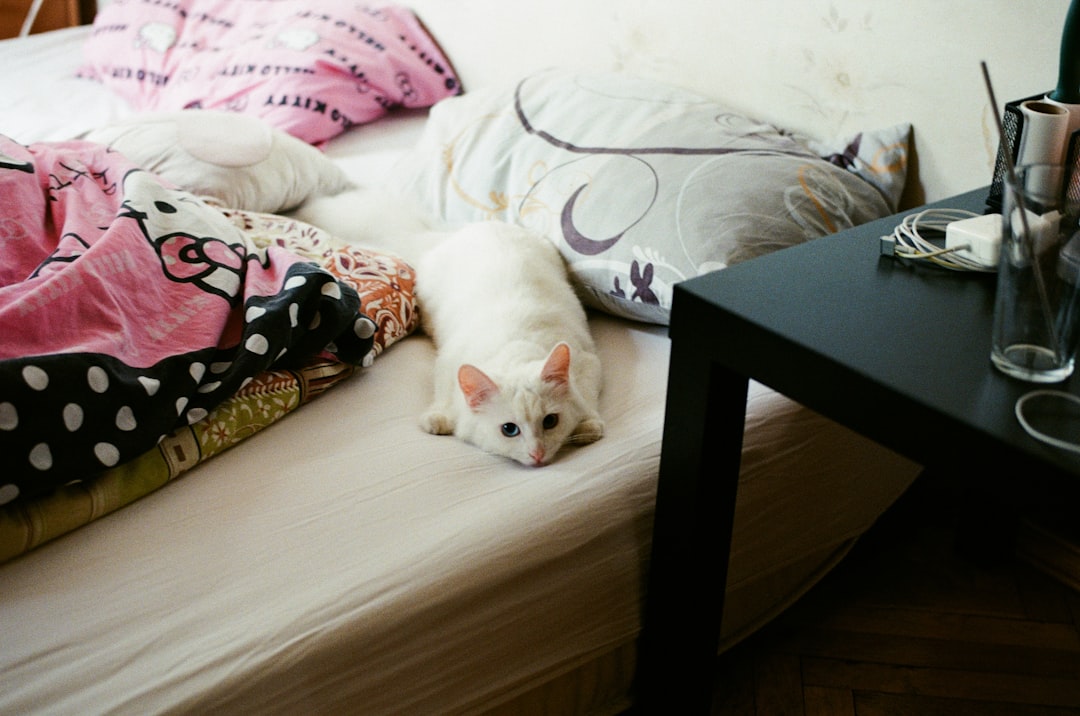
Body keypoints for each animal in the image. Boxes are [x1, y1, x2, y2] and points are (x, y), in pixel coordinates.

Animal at [414, 221, 604, 468]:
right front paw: (439, 418)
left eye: (550, 422)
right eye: (509, 430)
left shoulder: (588, 362)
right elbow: (443, 393)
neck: (515, 346)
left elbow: (587, 397)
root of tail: (481, 225)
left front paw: (588, 424)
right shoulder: (446, 363)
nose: (537, 454)